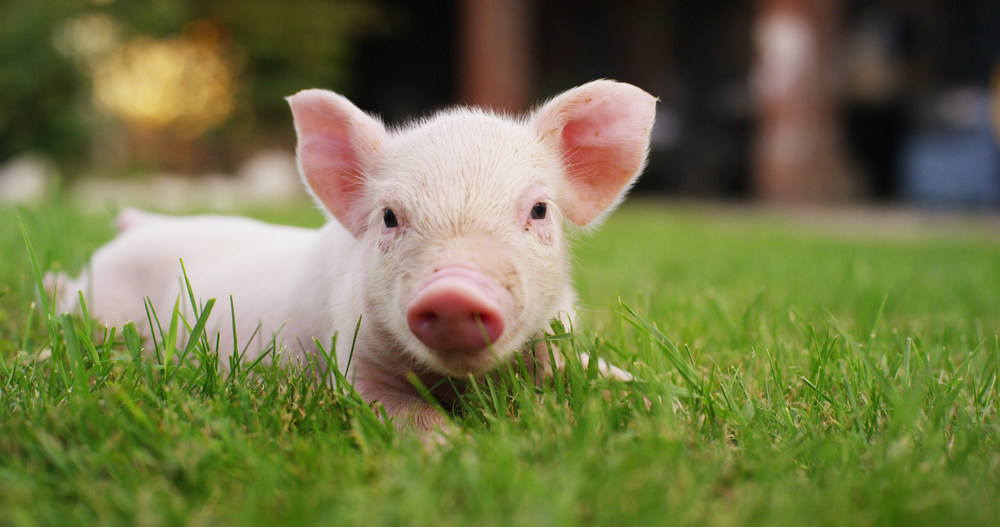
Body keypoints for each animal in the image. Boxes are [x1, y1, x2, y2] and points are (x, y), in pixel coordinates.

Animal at [53, 80, 656, 430]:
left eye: (539, 210)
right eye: (389, 216)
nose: (455, 290)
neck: (460, 383)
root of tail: (140, 223)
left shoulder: (555, 340)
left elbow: (602, 375)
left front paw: (656, 404)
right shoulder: (352, 361)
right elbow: (407, 417)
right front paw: (460, 449)